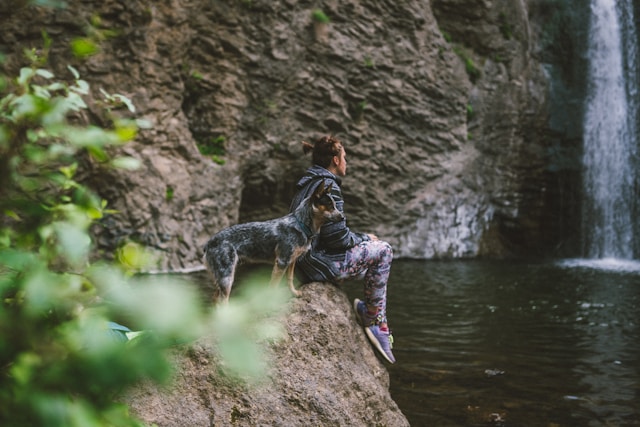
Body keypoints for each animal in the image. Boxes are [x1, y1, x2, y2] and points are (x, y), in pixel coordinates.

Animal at [205, 181, 344, 304]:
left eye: (335, 205)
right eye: (330, 205)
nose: (343, 217)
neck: (301, 224)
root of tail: (208, 243)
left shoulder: (291, 261)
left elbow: (290, 279)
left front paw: (294, 293)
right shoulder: (281, 262)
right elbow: (273, 286)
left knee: (215, 299)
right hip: (227, 277)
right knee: (223, 301)